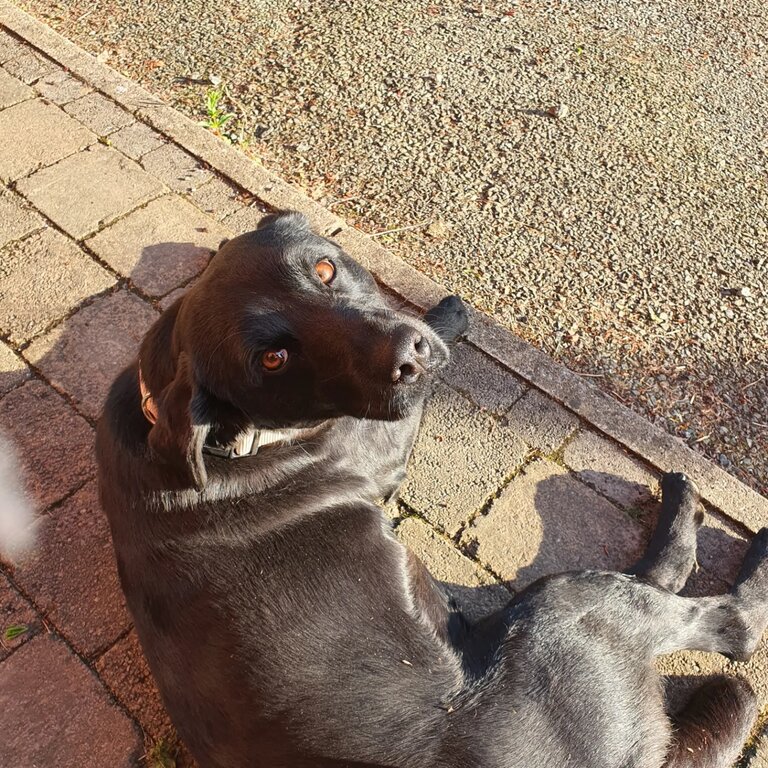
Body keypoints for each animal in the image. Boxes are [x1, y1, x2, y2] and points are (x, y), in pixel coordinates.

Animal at [97, 212, 768, 768]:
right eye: (273, 359)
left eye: (325, 268)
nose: (411, 355)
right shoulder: (379, 435)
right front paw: (451, 313)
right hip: (567, 607)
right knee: (730, 621)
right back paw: (699, 517)